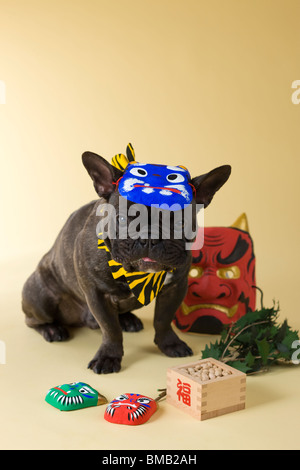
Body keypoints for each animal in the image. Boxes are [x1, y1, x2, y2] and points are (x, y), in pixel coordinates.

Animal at [21, 148, 232, 374]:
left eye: (180, 223)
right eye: (122, 219)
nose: (150, 237)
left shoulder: (175, 287)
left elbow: (163, 319)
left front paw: (170, 344)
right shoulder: (98, 294)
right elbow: (110, 329)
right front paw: (108, 357)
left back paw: (128, 320)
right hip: (40, 297)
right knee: (33, 320)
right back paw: (52, 329)